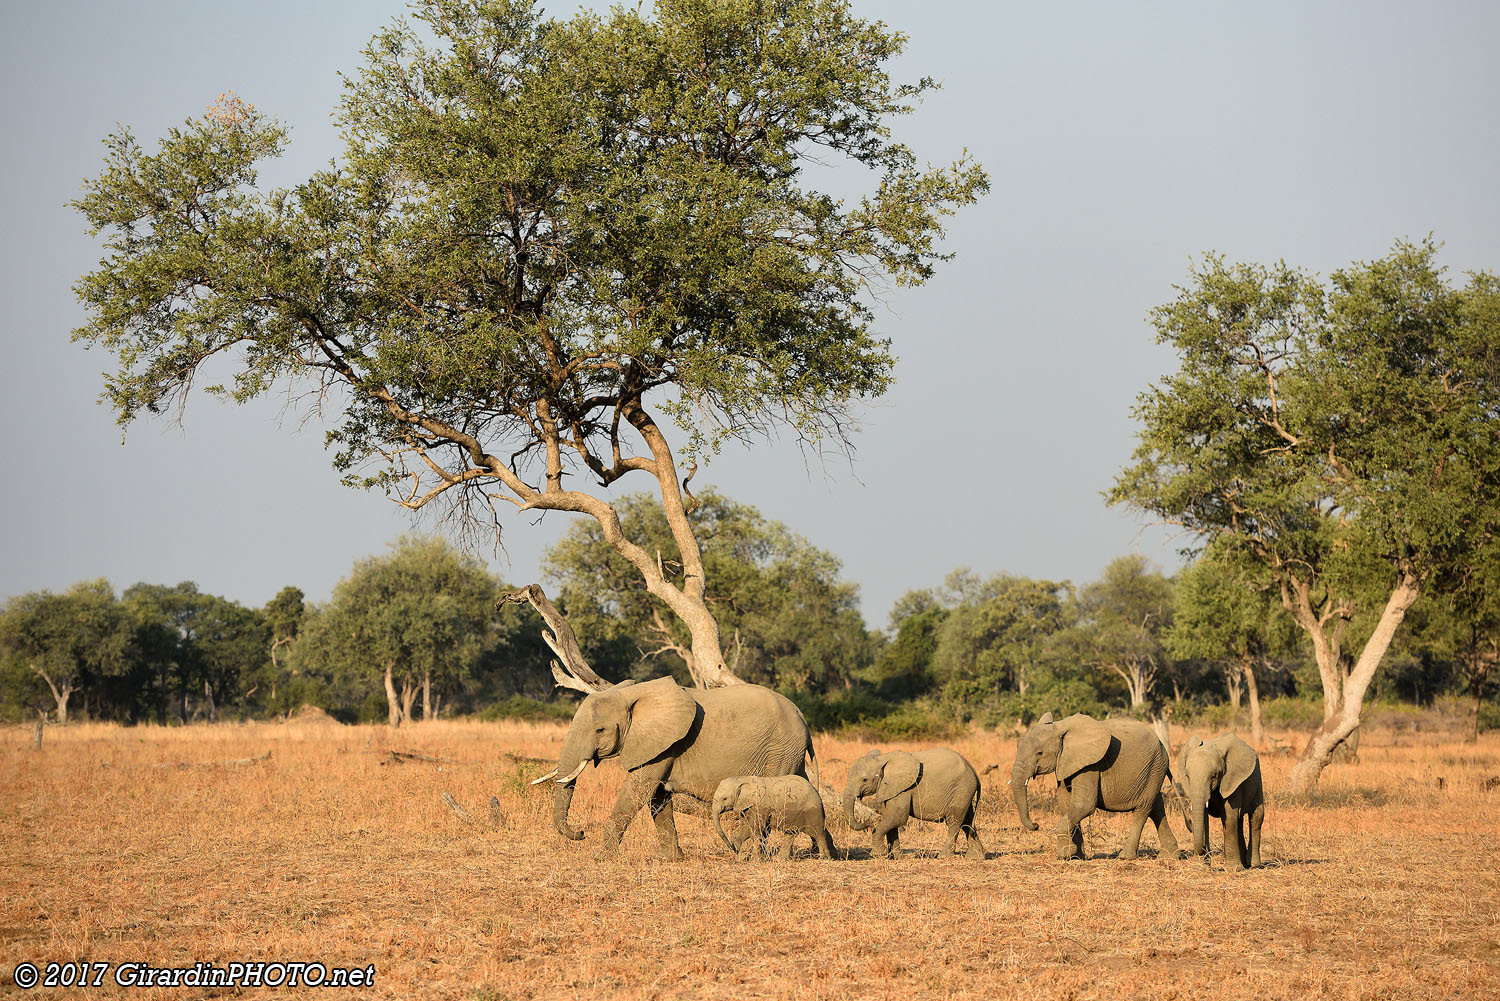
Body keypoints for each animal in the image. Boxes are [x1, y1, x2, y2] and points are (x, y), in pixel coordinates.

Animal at [537, 672, 822, 864]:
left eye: (599, 730)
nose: (581, 832)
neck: (631, 694)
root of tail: (803, 719)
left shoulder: (662, 743)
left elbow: (638, 790)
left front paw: (600, 856)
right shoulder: (662, 746)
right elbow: (657, 797)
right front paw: (670, 858)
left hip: (780, 751)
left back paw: (758, 858)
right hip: (789, 753)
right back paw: (812, 852)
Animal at [708, 774, 840, 864]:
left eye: (724, 798)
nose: (733, 850)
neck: (742, 779)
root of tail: (816, 791)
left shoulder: (760, 805)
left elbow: (757, 830)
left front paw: (754, 860)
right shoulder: (748, 807)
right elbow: (749, 827)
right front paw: (740, 854)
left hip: (812, 811)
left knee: (818, 833)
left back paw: (825, 859)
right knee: (790, 833)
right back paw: (781, 859)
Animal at [846, 747, 984, 858]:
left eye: (864, 780)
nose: (866, 823)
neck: (882, 758)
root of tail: (975, 774)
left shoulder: (905, 788)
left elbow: (897, 817)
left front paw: (878, 854)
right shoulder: (889, 789)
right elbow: (890, 819)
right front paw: (896, 857)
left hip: (961, 790)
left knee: (954, 822)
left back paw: (943, 857)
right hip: (964, 792)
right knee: (967, 822)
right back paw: (975, 857)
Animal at [1014, 711, 1176, 864]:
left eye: (1039, 753)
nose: (1036, 825)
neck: (1059, 727)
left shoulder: (1090, 764)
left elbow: (1084, 805)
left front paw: (1064, 855)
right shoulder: (1065, 761)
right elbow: (1065, 803)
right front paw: (1076, 857)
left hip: (1154, 767)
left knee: (1143, 809)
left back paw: (1126, 857)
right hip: (1155, 769)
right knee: (1157, 807)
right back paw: (1169, 856)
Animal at [1182, 732, 1266, 870]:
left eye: (1213, 776)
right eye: (1187, 777)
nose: (1204, 851)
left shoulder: (1233, 779)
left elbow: (1230, 815)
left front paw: (1234, 869)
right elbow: (1204, 818)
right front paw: (1201, 867)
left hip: (1258, 779)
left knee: (1256, 817)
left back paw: (1253, 865)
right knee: (1239, 820)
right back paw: (1244, 863)